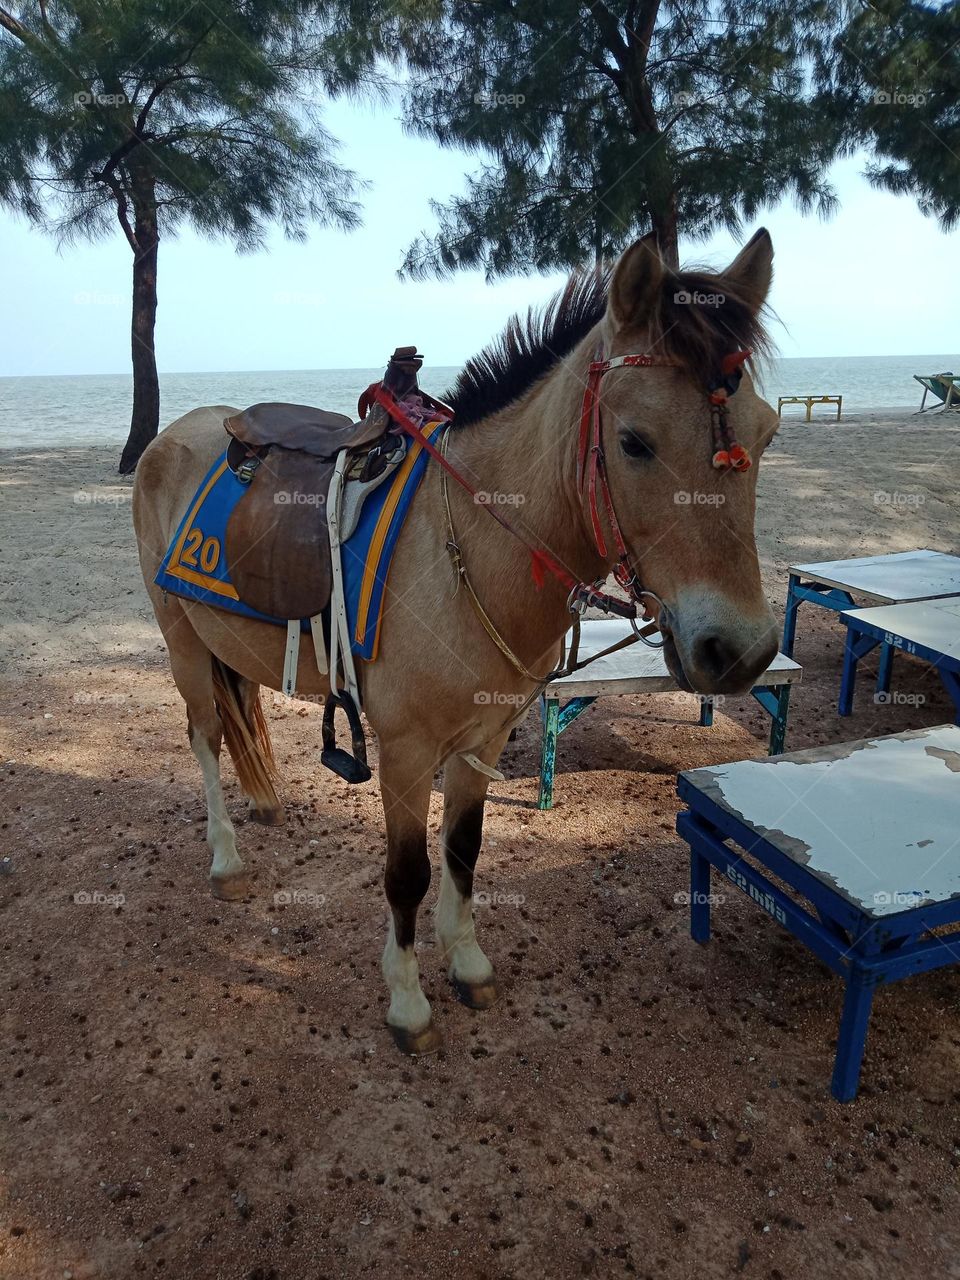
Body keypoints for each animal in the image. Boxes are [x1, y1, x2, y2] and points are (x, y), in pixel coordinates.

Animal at [133, 227, 783, 1049]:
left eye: (769, 432)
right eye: (635, 441)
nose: (740, 650)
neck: (471, 547)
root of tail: (177, 432)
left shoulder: (485, 735)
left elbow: (465, 851)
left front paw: (467, 962)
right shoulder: (408, 750)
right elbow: (407, 873)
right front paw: (408, 999)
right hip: (182, 639)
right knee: (207, 735)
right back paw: (226, 858)